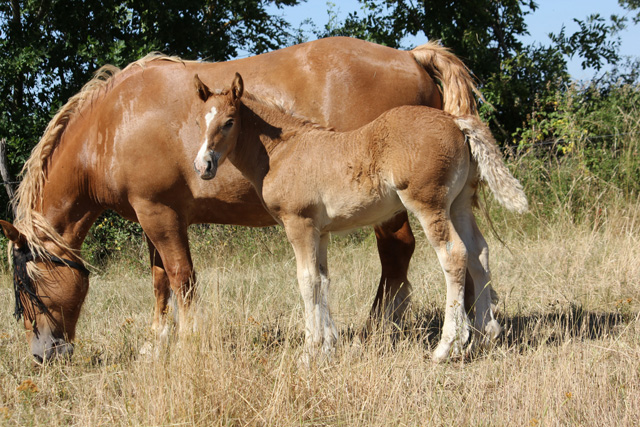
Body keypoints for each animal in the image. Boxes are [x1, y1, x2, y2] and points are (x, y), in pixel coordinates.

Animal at [0, 37, 480, 364]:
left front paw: (187, 343)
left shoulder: (160, 214)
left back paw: (382, 327)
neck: (114, 124)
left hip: (394, 204)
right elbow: (159, 281)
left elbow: (181, 278)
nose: (42, 355)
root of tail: (410, 57)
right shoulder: (149, 215)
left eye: (25, 288)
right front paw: (156, 343)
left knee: (401, 253)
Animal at [192, 74, 528, 364]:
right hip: (458, 204)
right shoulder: (321, 231)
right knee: (479, 253)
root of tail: (455, 120)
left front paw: (309, 352)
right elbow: (323, 280)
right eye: (199, 121)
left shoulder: (299, 223)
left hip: (429, 203)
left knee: (454, 256)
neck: (282, 151)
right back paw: (486, 336)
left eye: (229, 122)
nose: (203, 165)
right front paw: (328, 348)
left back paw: (447, 347)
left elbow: (306, 280)